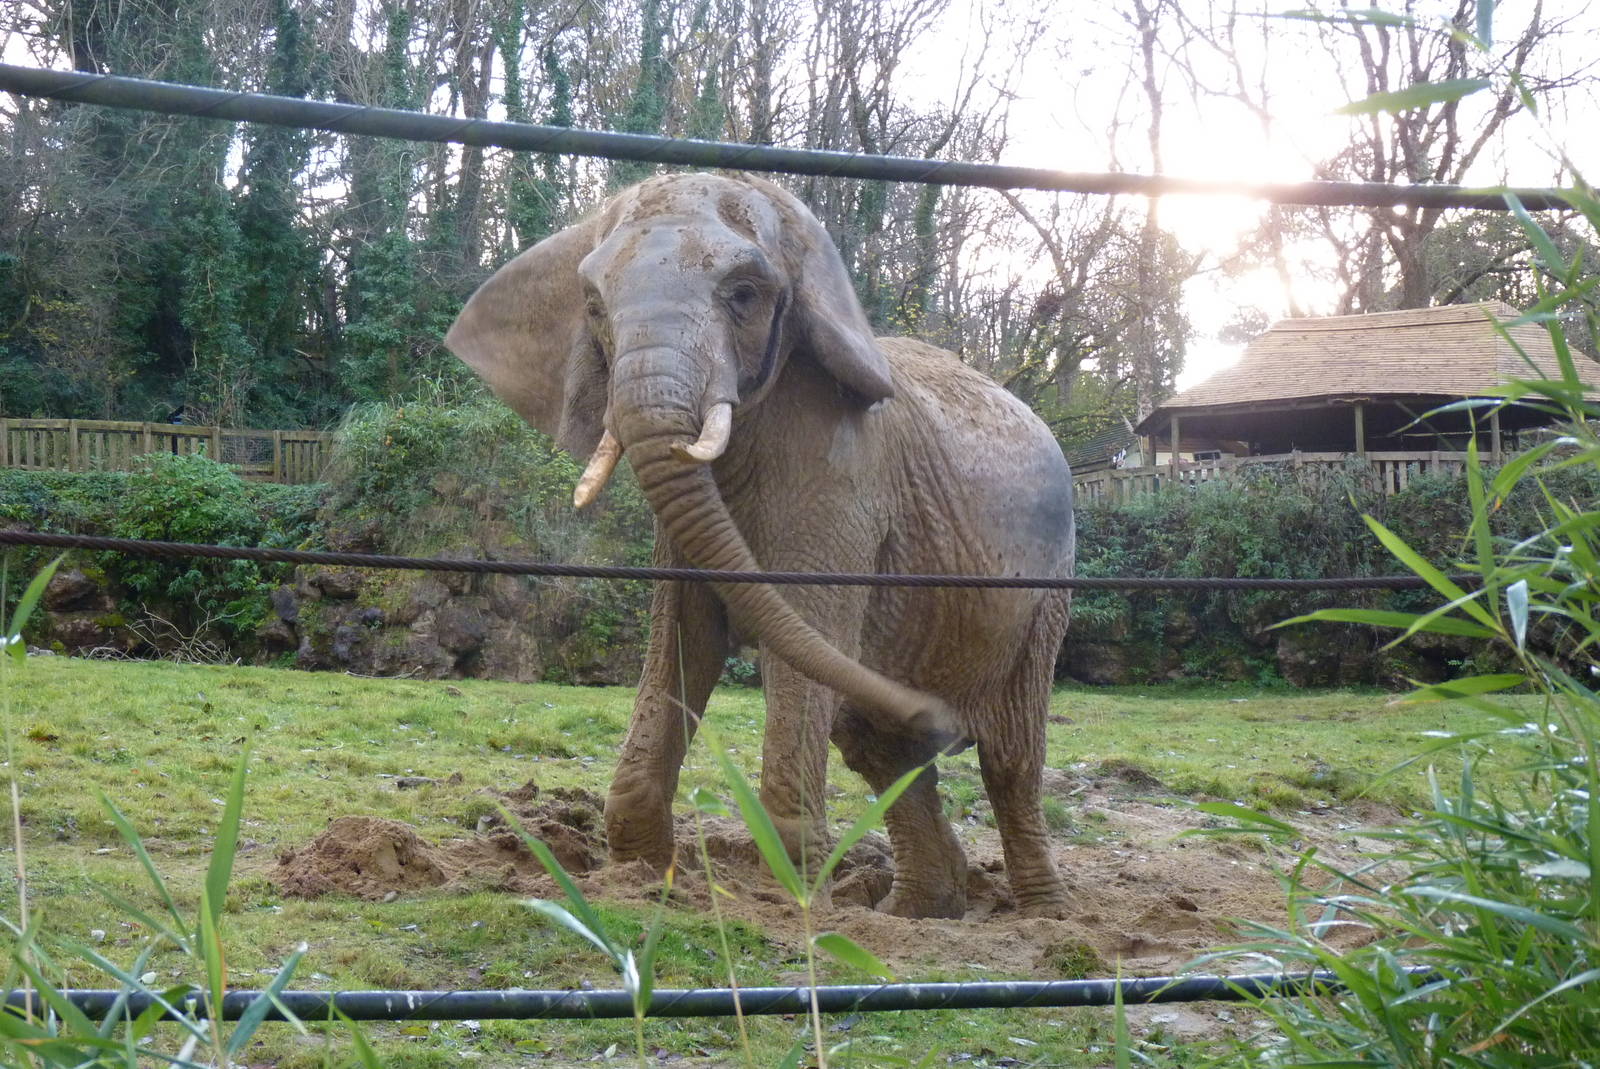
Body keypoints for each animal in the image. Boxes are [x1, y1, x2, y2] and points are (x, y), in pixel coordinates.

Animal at [445, 172, 1075, 919]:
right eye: (593, 306)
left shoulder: (839, 475)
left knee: (1010, 756)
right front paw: (643, 878)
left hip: (1047, 593)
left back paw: (1041, 911)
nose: (941, 715)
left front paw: (792, 891)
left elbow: (799, 628)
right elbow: (683, 635)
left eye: (743, 295)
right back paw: (915, 912)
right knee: (879, 746)